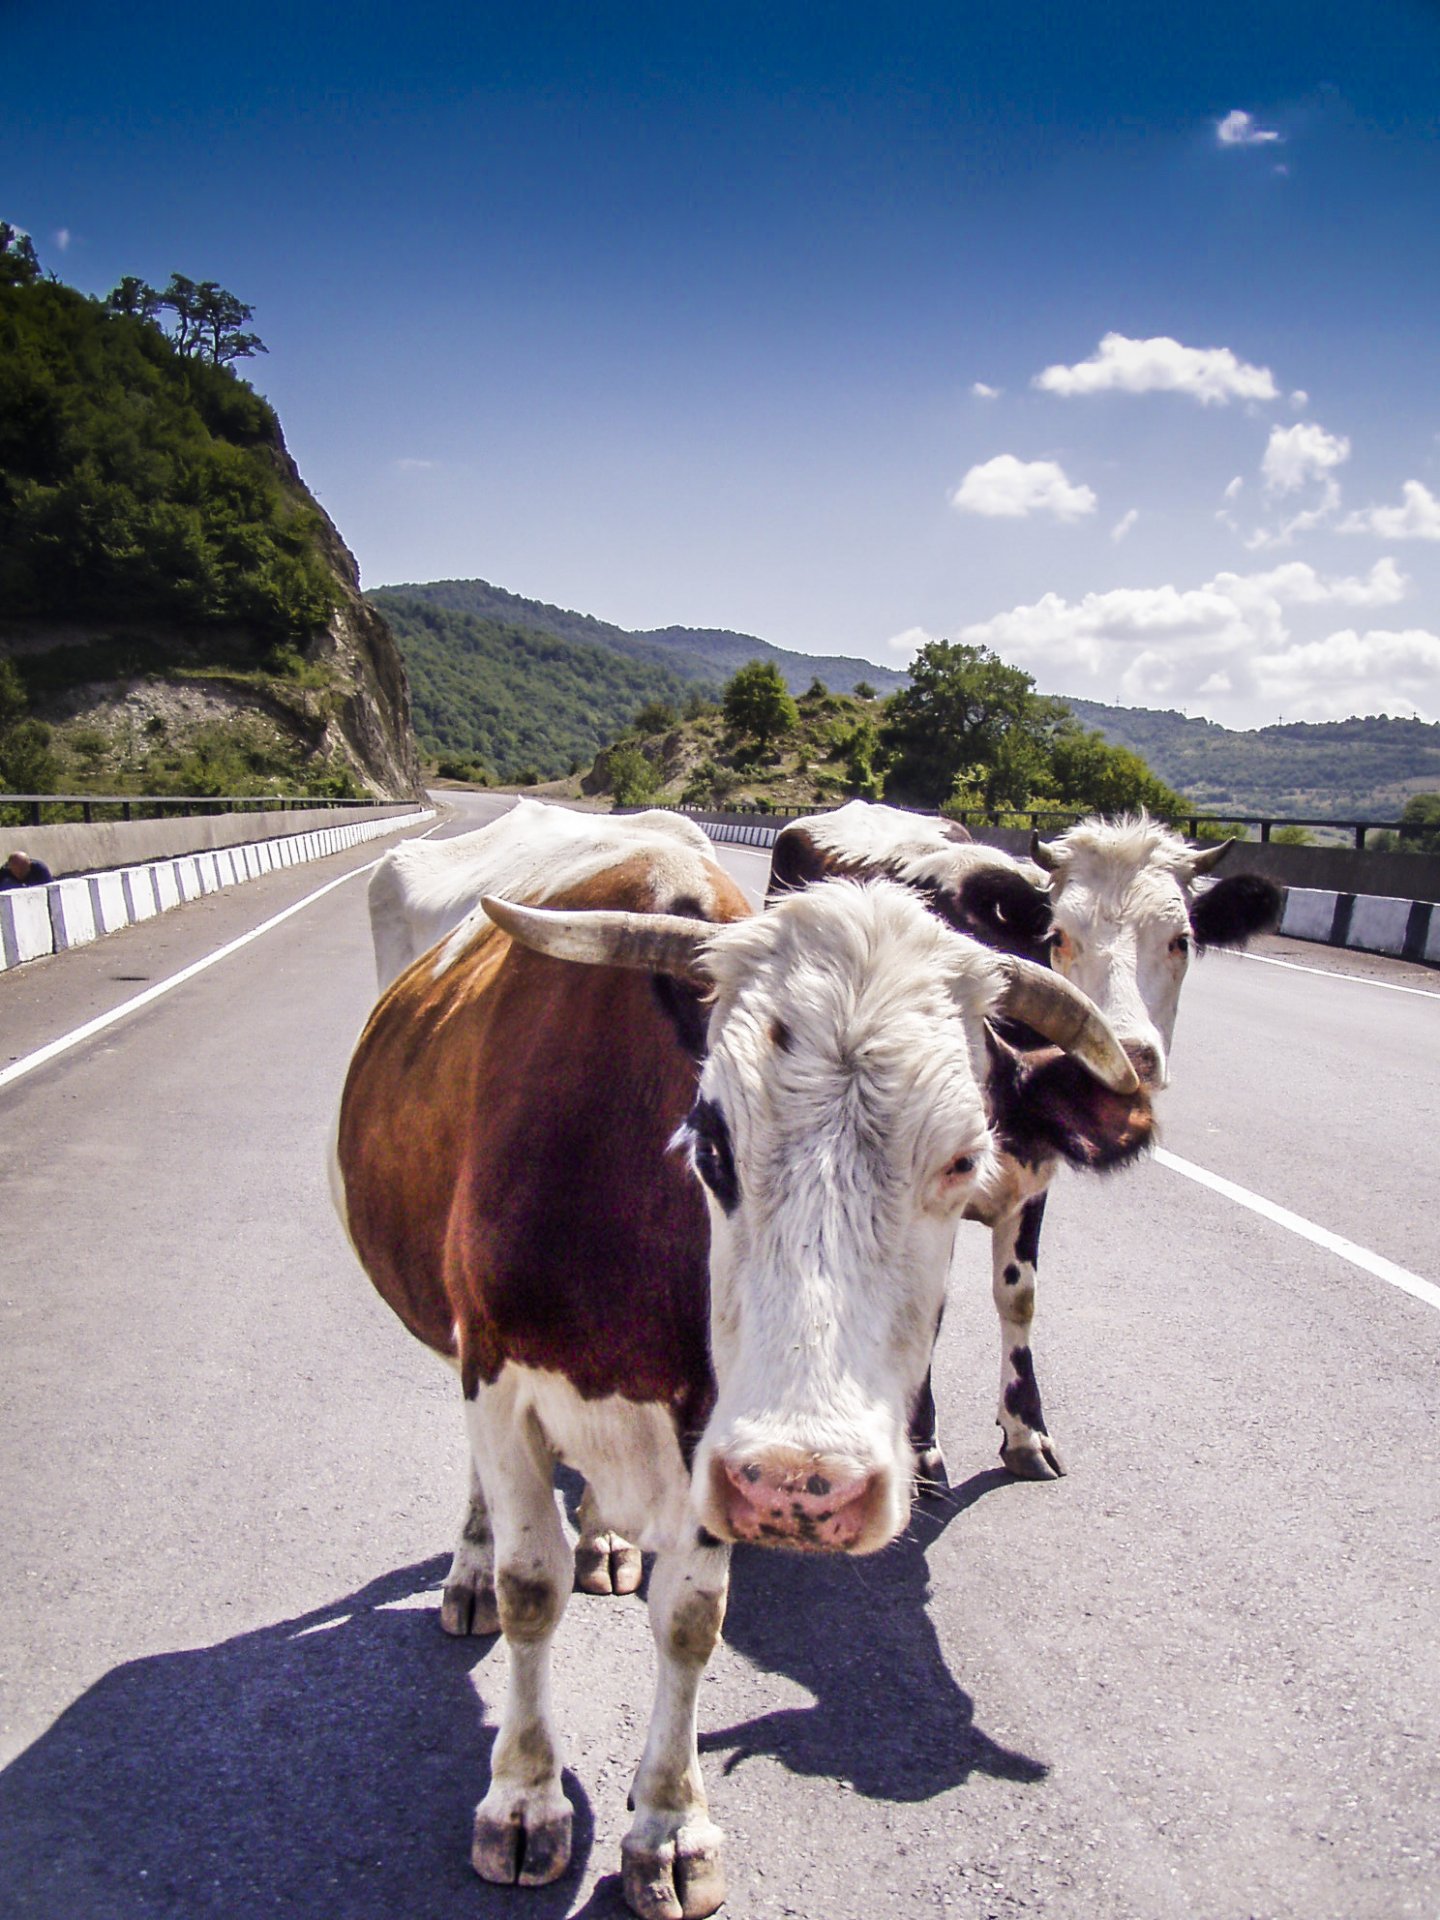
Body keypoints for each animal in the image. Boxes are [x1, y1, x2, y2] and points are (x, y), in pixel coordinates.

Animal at [332, 811, 1147, 1918]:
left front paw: (670, 1827)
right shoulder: (499, 1372)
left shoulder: (711, 1430)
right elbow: (531, 1587)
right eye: (710, 1143)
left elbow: (691, 1619)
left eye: (967, 1159)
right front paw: (524, 1800)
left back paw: (605, 1539)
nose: (807, 1482)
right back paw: (468, 1568)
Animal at [767, 801, 1281, 1483]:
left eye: (1182, 939)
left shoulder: (1038, 1173)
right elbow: (927, 1305)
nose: (1133, 1055)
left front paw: (1025, 1429)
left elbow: (1019, 1296)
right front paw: (922, 1446)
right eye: (1057, 936)